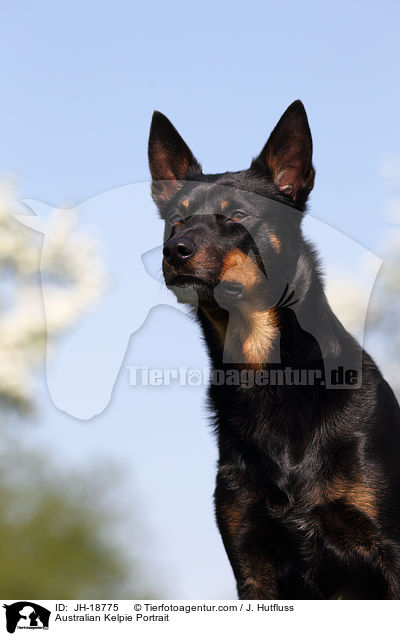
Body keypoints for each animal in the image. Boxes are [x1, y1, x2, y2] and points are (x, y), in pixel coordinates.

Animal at [148, 102, 400, 600]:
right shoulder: (251, 559)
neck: (268, 374)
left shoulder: (389, 545)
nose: (173, 251)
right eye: (176, 219)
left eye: (238, 214)